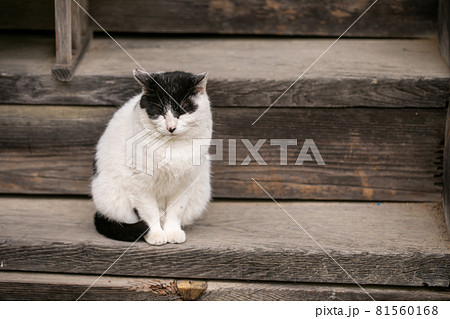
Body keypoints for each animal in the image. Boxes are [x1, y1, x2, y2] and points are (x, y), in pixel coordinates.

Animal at [91, 69, 213, 245]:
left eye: (182, 111)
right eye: (160, 111)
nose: (171, 127)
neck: (171, 148)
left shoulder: (187, 182)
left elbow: (176, 210)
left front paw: (173, 232)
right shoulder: (139, 183)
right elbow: (149, 212)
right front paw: (155, 234)